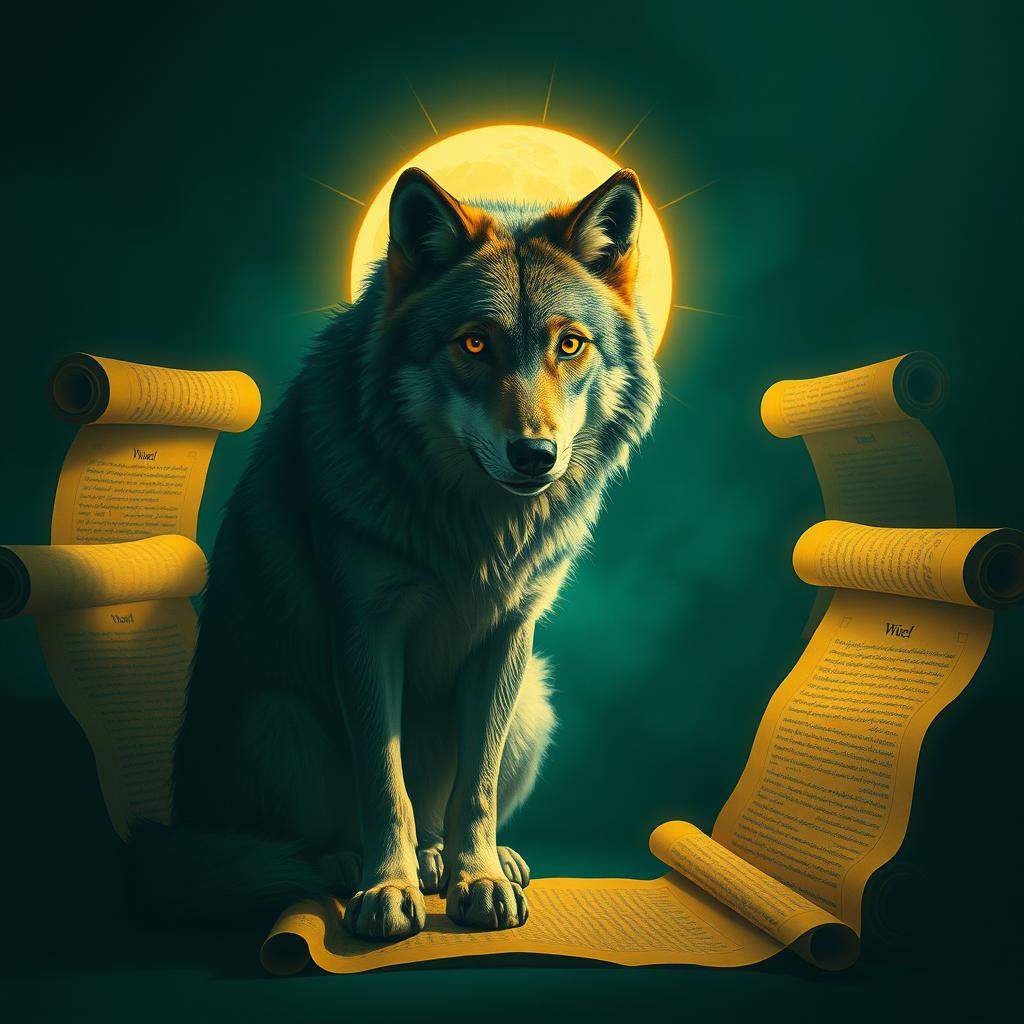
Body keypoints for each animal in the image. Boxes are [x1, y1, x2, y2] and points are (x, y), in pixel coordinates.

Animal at [128, 165, 661, 939]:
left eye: (569, 345)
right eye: (474, 344)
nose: (535, 455)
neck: (473, 531)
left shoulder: (509, 635)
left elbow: (475, 789)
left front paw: (479, 880)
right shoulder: (366, 631)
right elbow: (385, 785)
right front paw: (387, 891)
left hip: (535, 699)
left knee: (449, 811)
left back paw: (461, 861)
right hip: (273, 717)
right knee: (302, 841)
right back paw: (350, 866)